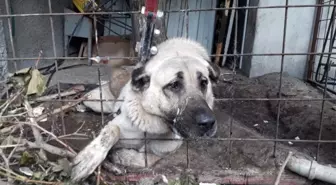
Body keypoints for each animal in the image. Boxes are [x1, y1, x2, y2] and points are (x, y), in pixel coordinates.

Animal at [70, 37, 220, 182]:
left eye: (204, 83)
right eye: (174, 85)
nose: (208, 123)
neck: (152, 128)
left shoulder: (161, 151)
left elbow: (146, 160)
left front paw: (122, 155)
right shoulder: (118, 124)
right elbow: (111, 132)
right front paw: (87, 160)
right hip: (98, 101)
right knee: (85, 99)